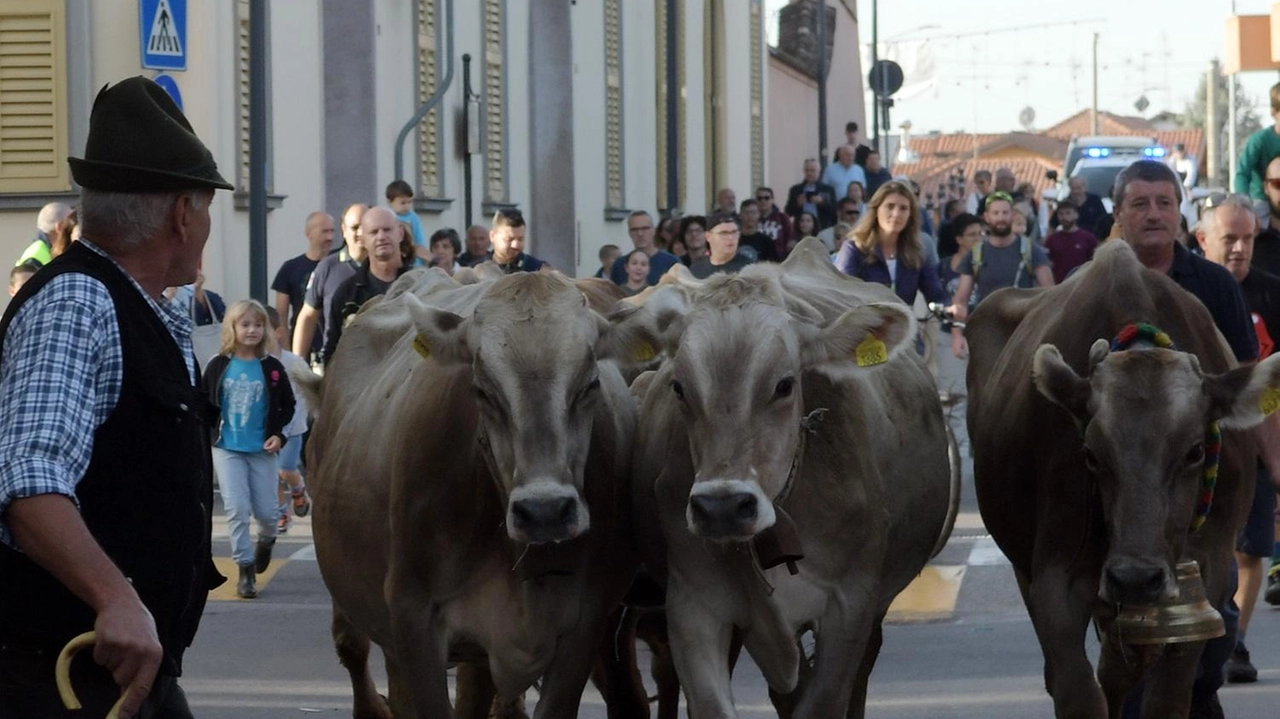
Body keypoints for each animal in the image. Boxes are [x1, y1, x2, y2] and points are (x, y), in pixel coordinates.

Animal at [299, 266, 640, 711]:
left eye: (591, 384)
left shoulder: (585, 625)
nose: (544, 511)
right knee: (355, 652)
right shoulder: (413, 620)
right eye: (481, 389)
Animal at [967, 237, 1280, 711]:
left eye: (1195, 451)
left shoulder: (1200, 579)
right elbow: (1078, 690)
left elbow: (1165, 694)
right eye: (1091, 454)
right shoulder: (1056, 578)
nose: (1134, 577)